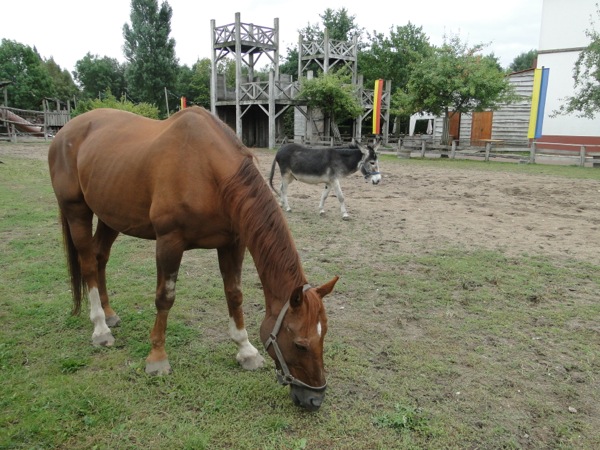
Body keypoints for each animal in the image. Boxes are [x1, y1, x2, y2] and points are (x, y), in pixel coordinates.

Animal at [47, 107, 338, 410]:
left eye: (324, 336)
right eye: (300, 344)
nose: (315, 399)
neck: (209, 172)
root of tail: (66, 131)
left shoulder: (233, 243)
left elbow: (234, 295)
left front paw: (245, 350)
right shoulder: (169, 243)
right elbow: (165, 298)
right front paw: (157, 358)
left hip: (110, 215)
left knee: (100, 257)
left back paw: (110, 313)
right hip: (77, 211)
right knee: (88, 264)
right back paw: (101, 327)